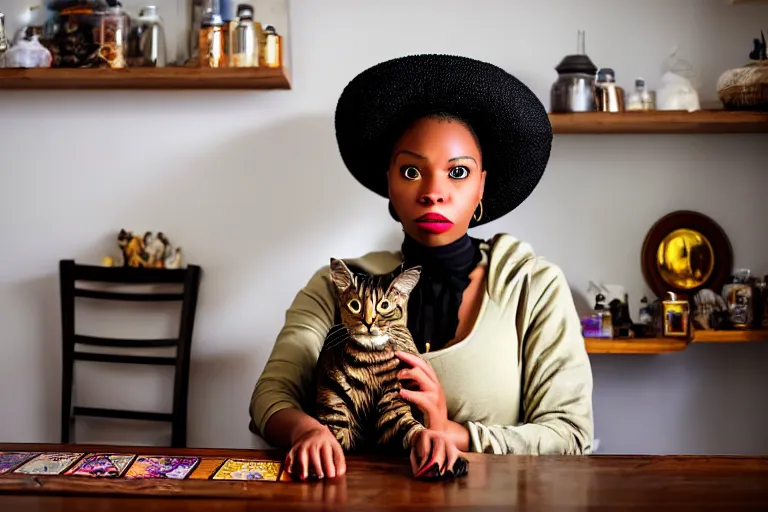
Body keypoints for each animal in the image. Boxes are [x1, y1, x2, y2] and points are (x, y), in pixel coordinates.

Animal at [312, 258, 426, 454]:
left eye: (384, 305)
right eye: (355, 305)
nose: (368, 322)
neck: (369, 362)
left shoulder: (393, 407)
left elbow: (413, 429)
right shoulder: (332, 407)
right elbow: (333, 435)